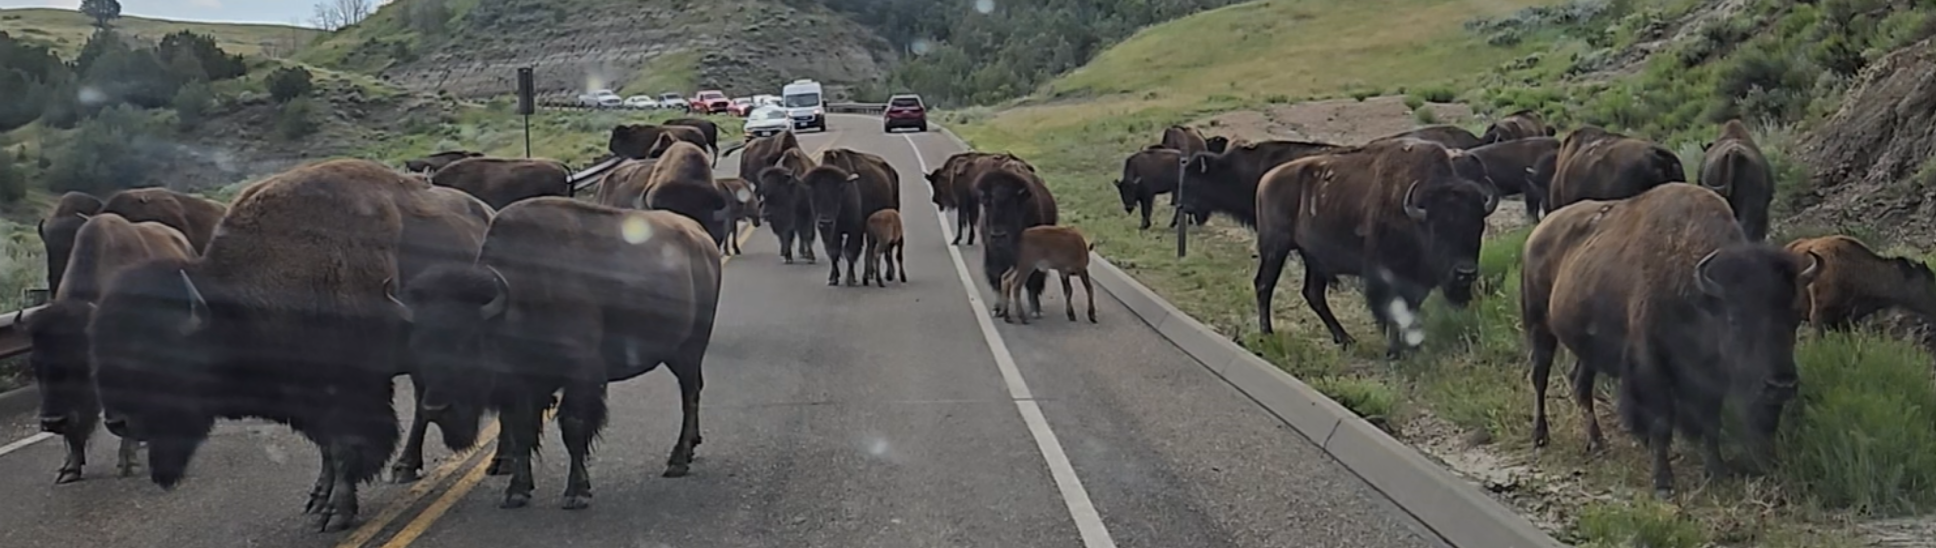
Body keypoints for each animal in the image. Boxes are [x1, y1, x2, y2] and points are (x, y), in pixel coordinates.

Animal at [86, 159, 455, 531]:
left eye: (150, 355)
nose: (117, 423)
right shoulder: (309, 400)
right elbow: (327, 448)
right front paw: (319, 499)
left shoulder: (349, 391)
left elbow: (345, 447)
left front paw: (336, 512)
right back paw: (404, 467)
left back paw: (404, 468)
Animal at [394, 198, 721, 510]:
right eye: (419, 347)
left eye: (469, 342)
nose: (436, 408)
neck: (516, 301)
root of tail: (702, 238)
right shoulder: (521, 388)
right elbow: (522, 433)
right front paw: (516, 492)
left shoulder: (580, 376)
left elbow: (573, 429)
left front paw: (577, 493)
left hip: (689, 349)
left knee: (690, 395)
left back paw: (678, 461)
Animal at [976, 164, 1059, 317]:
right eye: (986, 202)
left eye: (1012, 203)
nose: (998, 235)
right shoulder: (993, 255)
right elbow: (997, 278)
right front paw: (997, 309)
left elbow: (1033, 280)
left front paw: (1035, 310)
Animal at [1250, 139, 1497, 358]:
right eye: (1438, 230)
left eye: (1478, 226)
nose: (1465, 273)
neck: (1413, 217)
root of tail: (1267, 179)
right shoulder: (1383, 276)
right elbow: (1389, 311)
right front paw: (1395, 351)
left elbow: (1410, 308)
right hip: (1275, 248)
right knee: (1264, 285)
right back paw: (1267, 334)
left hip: (1314, 258)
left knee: (1313, 294)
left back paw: (1345, 339)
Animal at [1520, 183, 1817, 498]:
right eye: (1735, 319)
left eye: (1795, 318)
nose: (1781, 386)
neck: (1699, 296)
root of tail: (1539, 232)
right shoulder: (1651, 365)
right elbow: (1661, 420)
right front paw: (1663, 482)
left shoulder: (1709, 378)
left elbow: (1710, 422)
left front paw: (1717, 472)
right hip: (1539, 325)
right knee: (1539, 376)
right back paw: (1540, 437)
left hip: (1587, 345)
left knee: (1580, 382)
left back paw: (1597, 443)